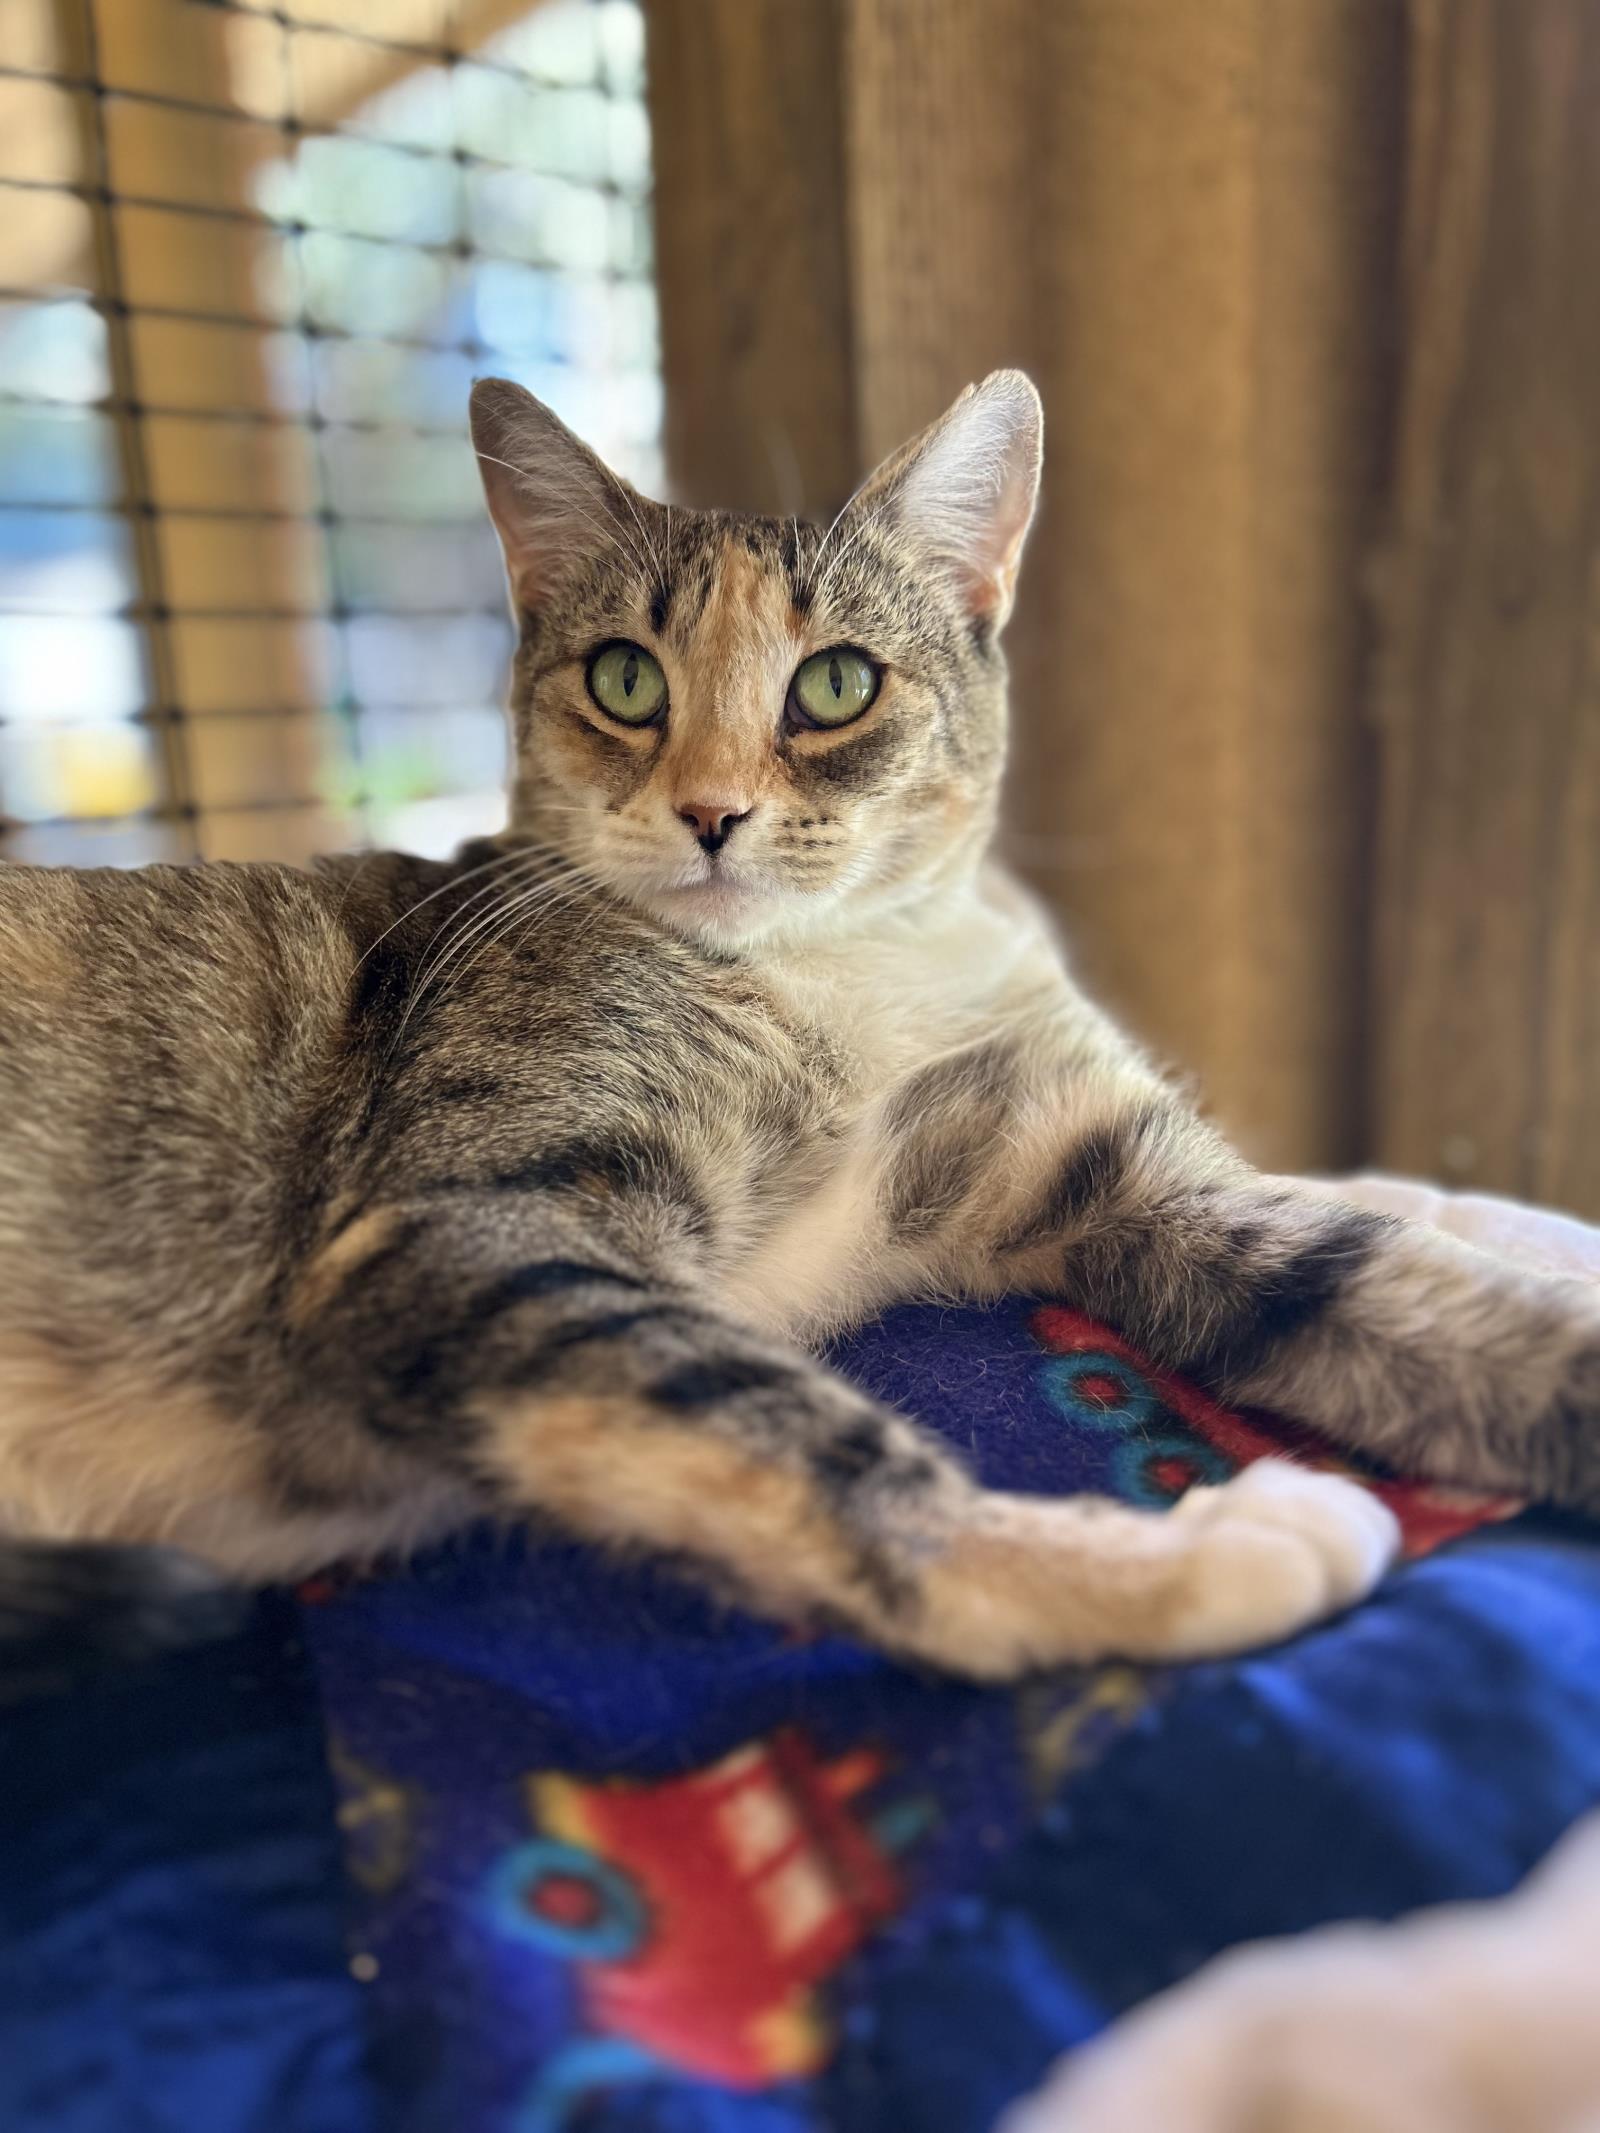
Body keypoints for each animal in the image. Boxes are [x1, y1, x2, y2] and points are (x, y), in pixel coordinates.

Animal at [0, 375, 1595, 1680]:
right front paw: (1185, 1563)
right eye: (624, 678)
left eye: (836, 683)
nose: (711, 812)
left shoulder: (1097, 1160)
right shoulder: (461, 1228)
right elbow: (794, 1431)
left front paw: (1508, 1242)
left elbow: (1368, 1246)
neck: (844, 971)